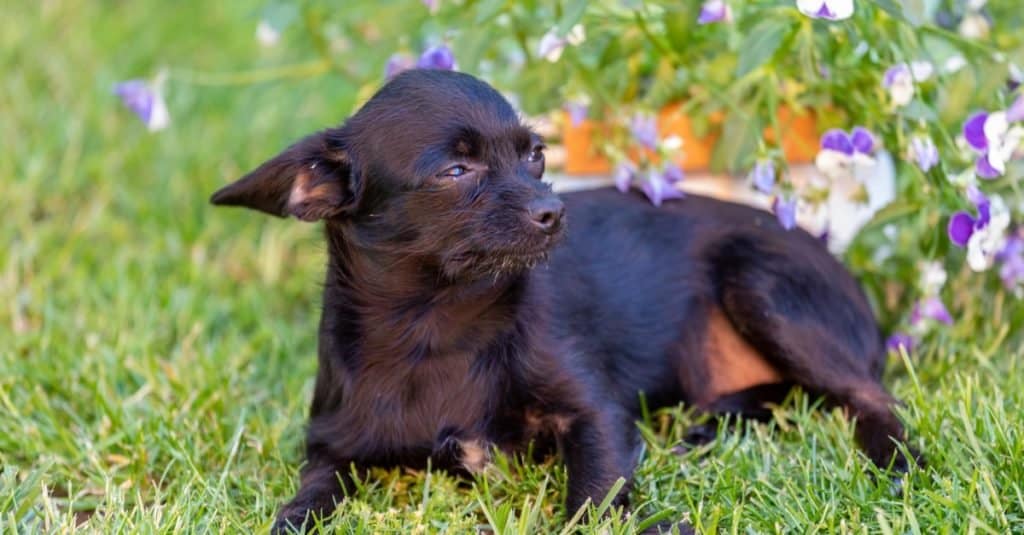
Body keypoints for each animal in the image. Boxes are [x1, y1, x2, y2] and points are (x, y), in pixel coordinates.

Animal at [214, 69, 921, 528]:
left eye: (536, 156)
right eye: (454, 171)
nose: (553, 212)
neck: (437, 326)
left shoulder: (594, 414)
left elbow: (592, 503)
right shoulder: (333, 448)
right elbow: (303, 503)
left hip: (760, 283)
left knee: (868, 395)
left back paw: (896, 464)